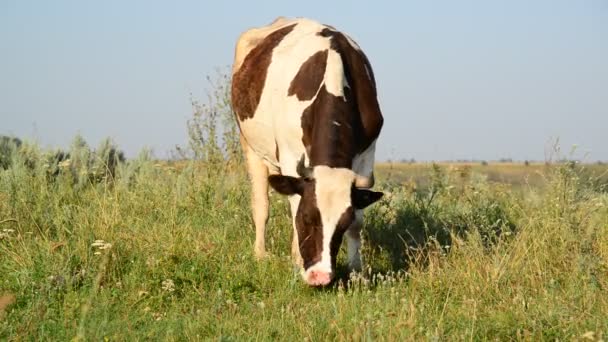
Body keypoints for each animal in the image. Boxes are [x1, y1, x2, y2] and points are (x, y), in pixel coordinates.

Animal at [230, 17, 382, 288]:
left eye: (342, 224)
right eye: (307, 217)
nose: (320, 276)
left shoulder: (366, 158)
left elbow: (359, 222)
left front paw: (357, 271)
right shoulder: (290, 156)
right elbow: (292, 205)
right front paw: (297, 260)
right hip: (250, 146)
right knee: (261, 205)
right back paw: (260, 254)